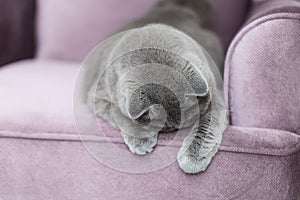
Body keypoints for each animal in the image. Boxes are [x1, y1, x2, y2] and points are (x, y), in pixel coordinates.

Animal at [86, 0, 227, 173]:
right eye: (164, 126)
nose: (173, 129)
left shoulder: (215, 96)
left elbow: (207, 124)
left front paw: (192, 157)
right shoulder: (98, 96)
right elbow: (121, 116)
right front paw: (141, 140)